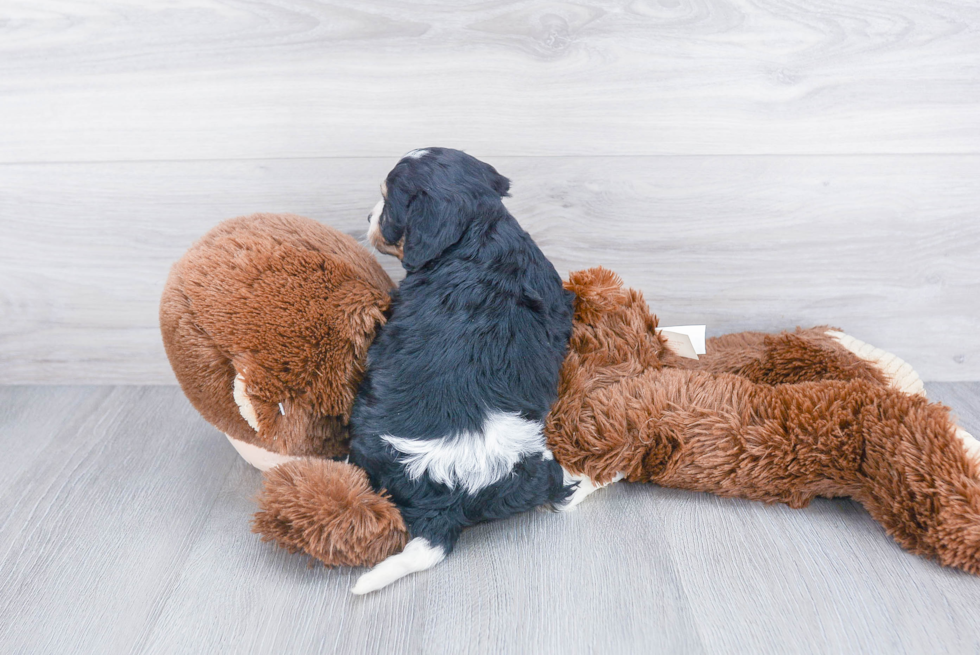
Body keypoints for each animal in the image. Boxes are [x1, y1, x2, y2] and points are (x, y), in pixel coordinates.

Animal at [348, 149, 576, 596]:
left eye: (387, 202)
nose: (366, 215)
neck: (481, 235)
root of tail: (452, 503)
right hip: (534, 468)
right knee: (557, 488)